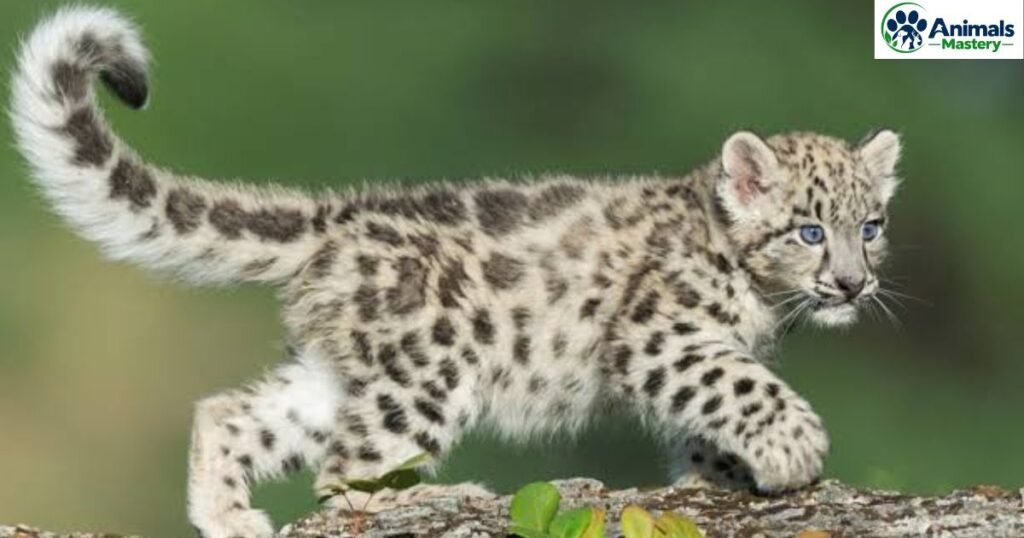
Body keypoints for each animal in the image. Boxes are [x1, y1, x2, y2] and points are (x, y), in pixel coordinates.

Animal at [10, 7, 903, 538]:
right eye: (809, 230)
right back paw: (429, 499)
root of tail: (337, 217)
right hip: (427, 374)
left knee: (231, 413)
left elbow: (711, 415)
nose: (853, 284)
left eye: (871, 227)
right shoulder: (663, 337)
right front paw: (795, 449)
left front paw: (721, 476)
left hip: (346, 374)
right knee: (346, 471)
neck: (760, 301)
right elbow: (741, 386)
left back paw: (230, 517)